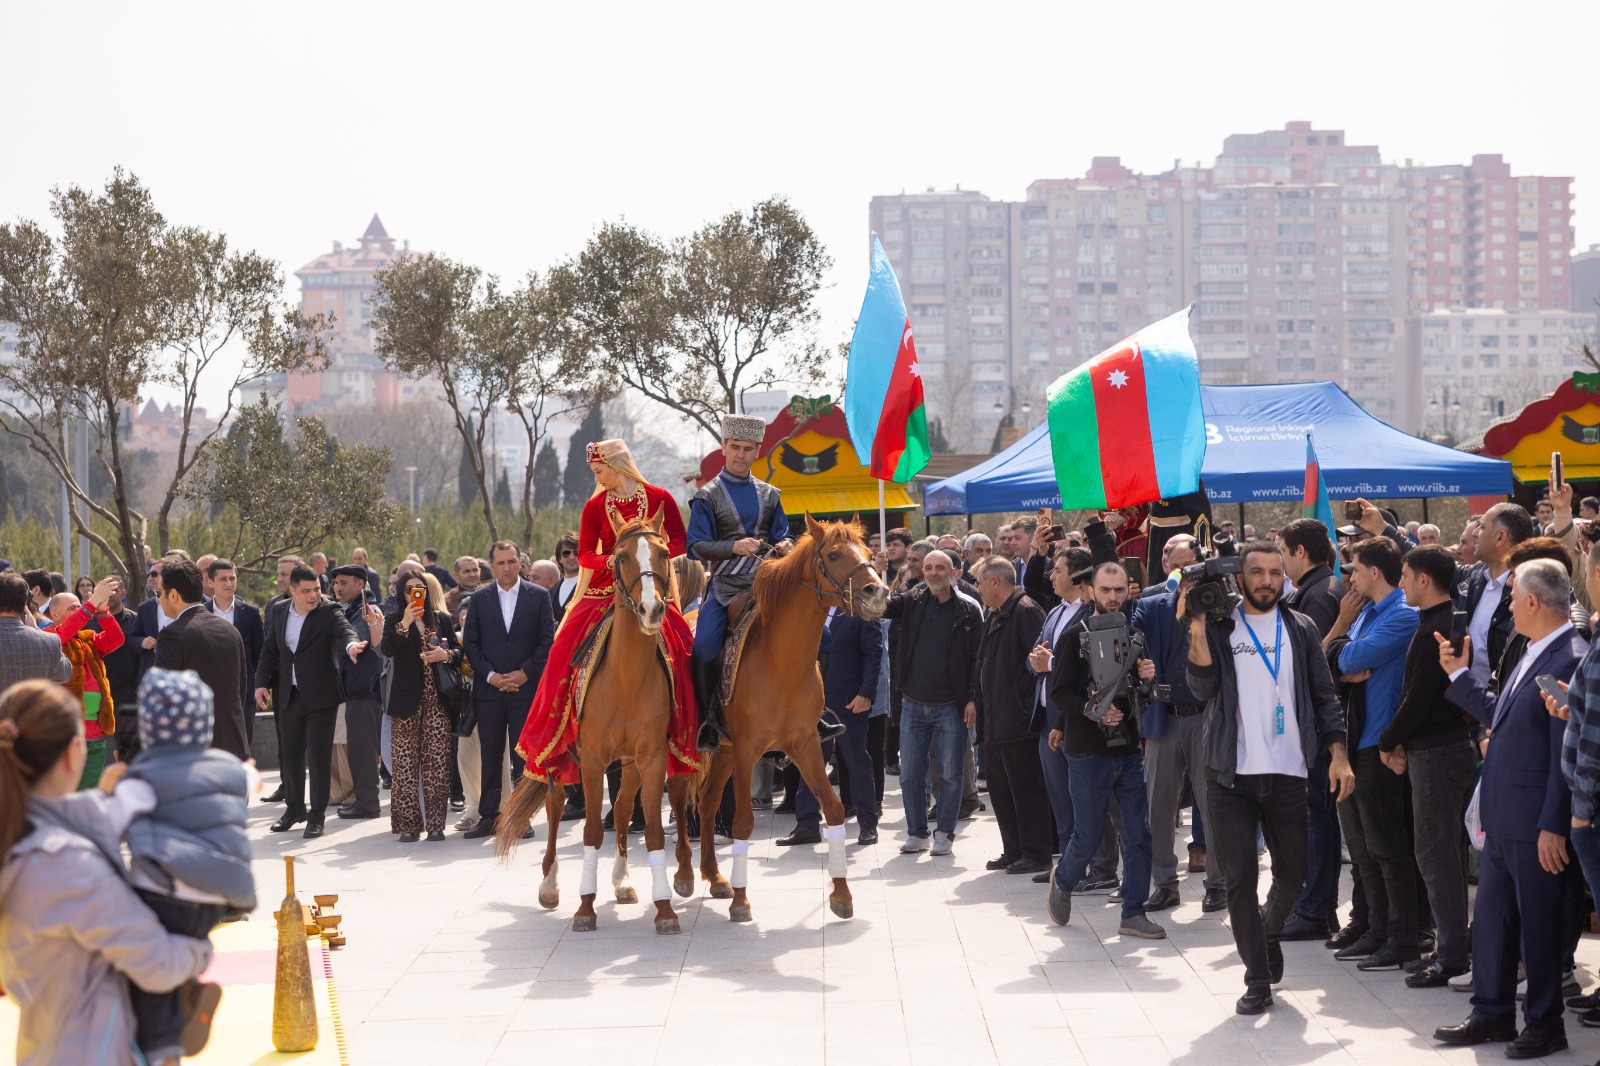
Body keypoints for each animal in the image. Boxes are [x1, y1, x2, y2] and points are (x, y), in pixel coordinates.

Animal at [492, 505, 694, 928]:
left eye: (665, 553)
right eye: (620, 558)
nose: (652, 609)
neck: (626, 676)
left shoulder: (650, 757)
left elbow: (651, 830)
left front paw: (665, 910)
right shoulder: (592, 760)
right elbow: (589, 833)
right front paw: (585, 906)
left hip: (629, 763)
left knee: (622, 809)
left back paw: (622, 881)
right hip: (557, 757)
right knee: (554, 807)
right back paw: (549, 886)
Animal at [697, 512, 889, 915]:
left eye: (869, 553)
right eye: (833, 555)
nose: (877, 592)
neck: (780, 661)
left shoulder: (805, 744)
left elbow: (833, 808)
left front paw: (841, 895)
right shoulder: (747, 750)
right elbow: (742, 822)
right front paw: (741, 900)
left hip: (723, 751)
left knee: (706, 802)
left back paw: (715, 877)